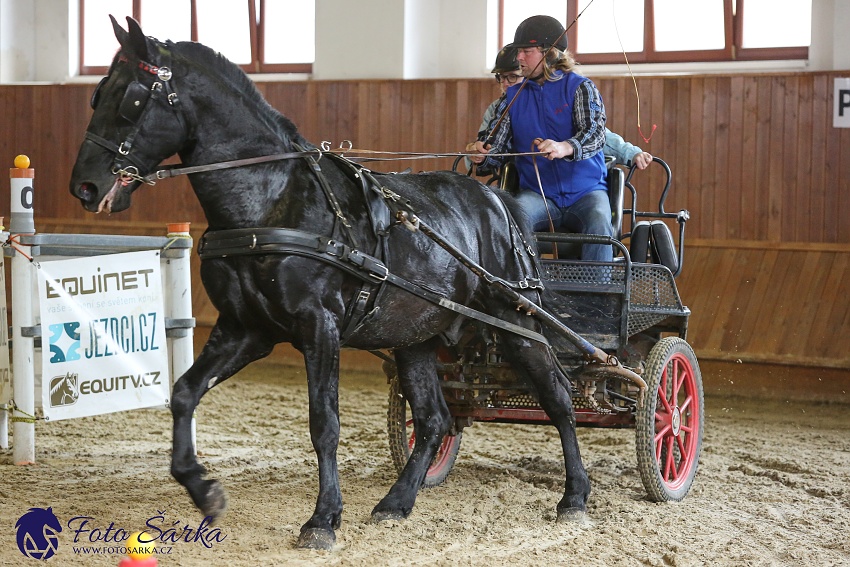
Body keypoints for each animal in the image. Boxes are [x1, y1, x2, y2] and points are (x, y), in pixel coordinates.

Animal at [69, 17, 588, 552]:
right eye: (97, 94)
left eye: (130, 98)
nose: (84, 186)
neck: (272, 200)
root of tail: (497, 199)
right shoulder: (244, 329)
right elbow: (184, 393)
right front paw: (202, 488)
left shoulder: (319, 327)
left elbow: (325, 423)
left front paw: (322, 519)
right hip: (414, 336)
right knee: (433, 419)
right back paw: (396, 502)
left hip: (515, 320)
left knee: (557, 397)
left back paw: (573, 497)